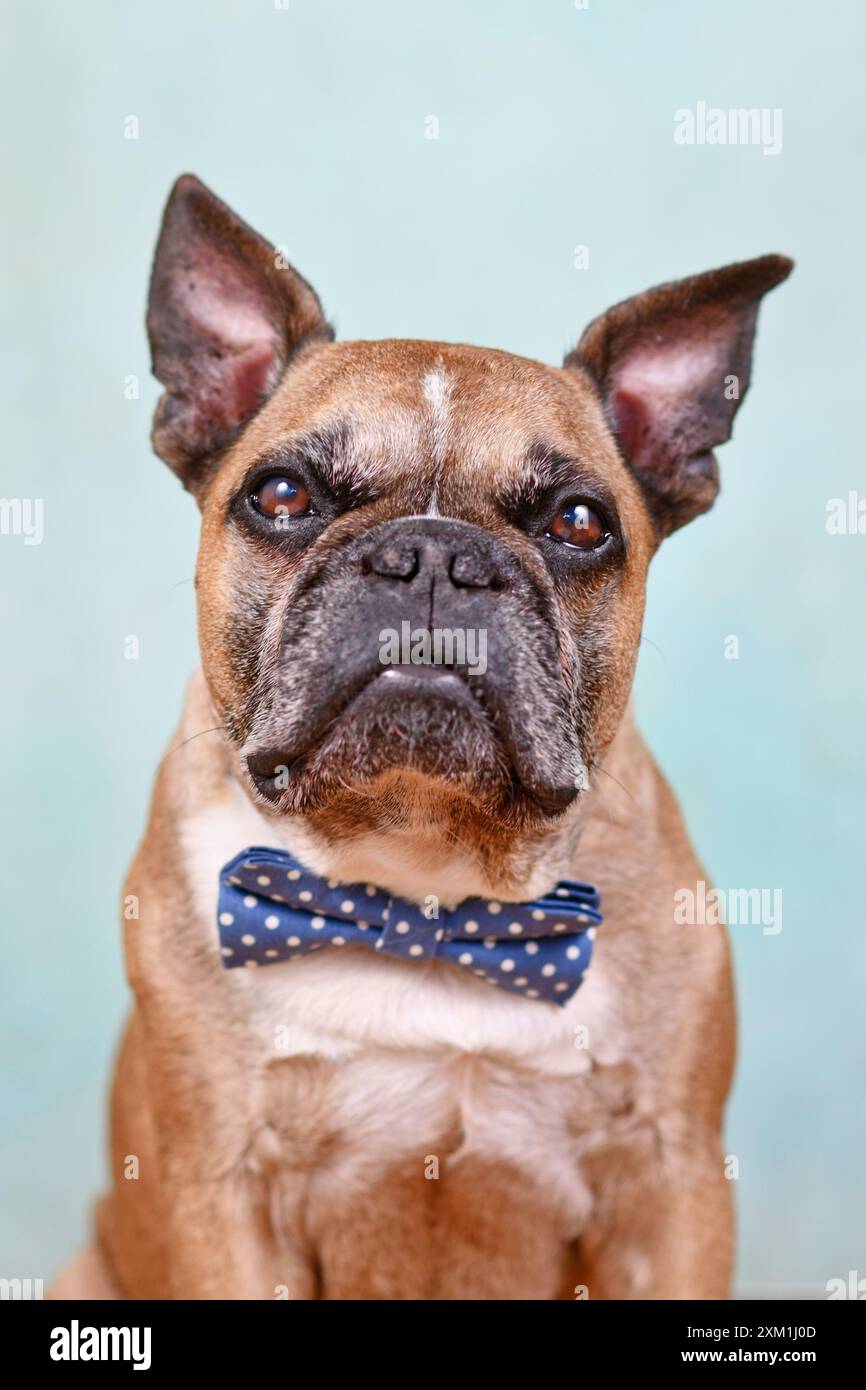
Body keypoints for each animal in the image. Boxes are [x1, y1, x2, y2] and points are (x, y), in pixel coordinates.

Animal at [48, 176, 795, 1301]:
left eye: (580, 522)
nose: (436, 556)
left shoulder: (669, 1188)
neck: (420, 883)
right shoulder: (223, 1193)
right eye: (281, 495)